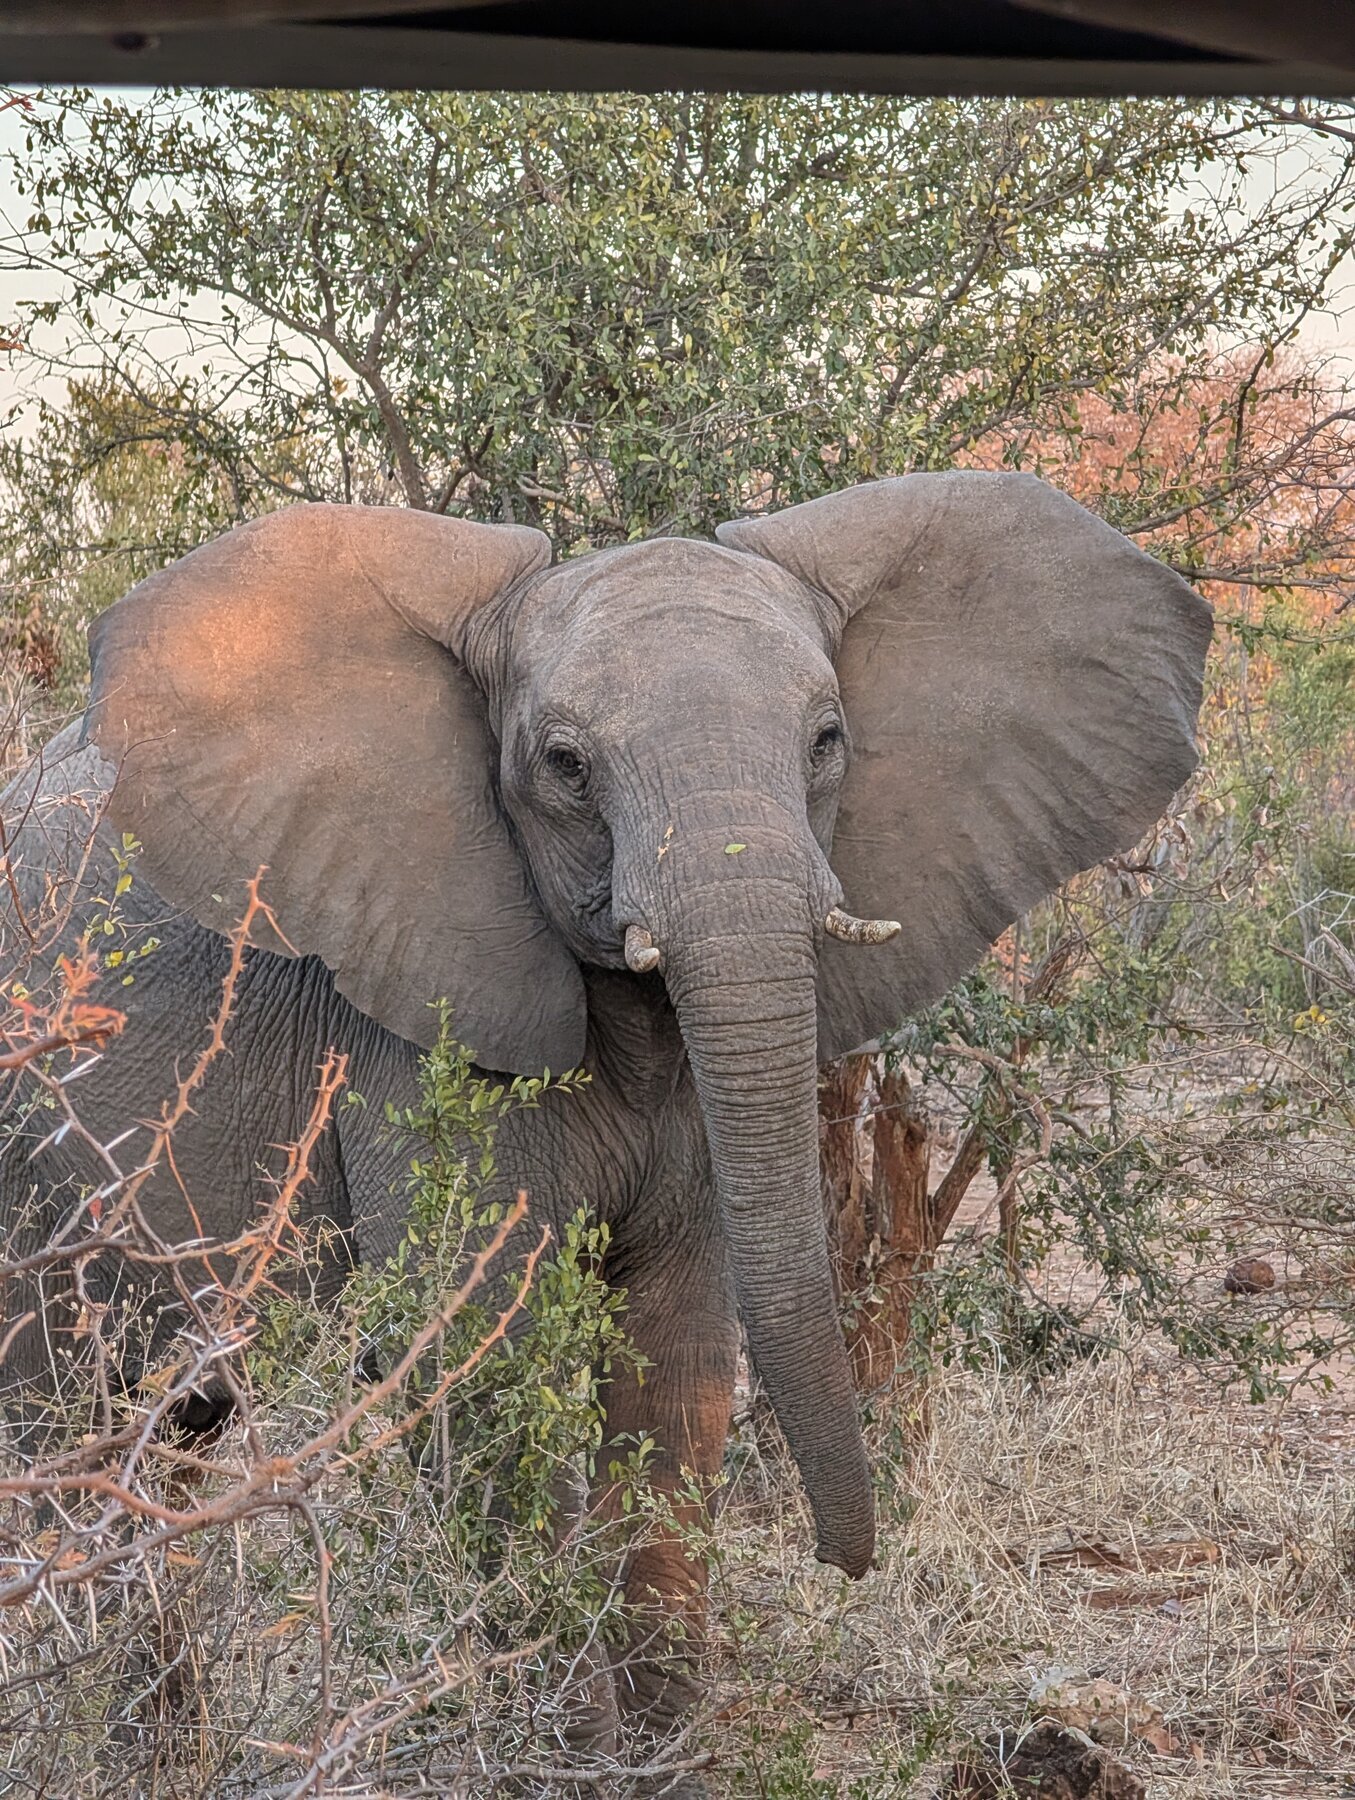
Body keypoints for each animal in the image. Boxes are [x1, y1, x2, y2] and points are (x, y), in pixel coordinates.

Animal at [0, 472, 1211, 1782]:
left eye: (826, 740)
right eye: (566, 764)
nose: (847, 1560)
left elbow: (677, 1356)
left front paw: (664, 1759)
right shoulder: (412, 1037)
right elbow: (487, 1359)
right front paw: (563, 1762)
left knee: (168, 1425)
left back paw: (158, 1750)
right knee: (63, 1417)